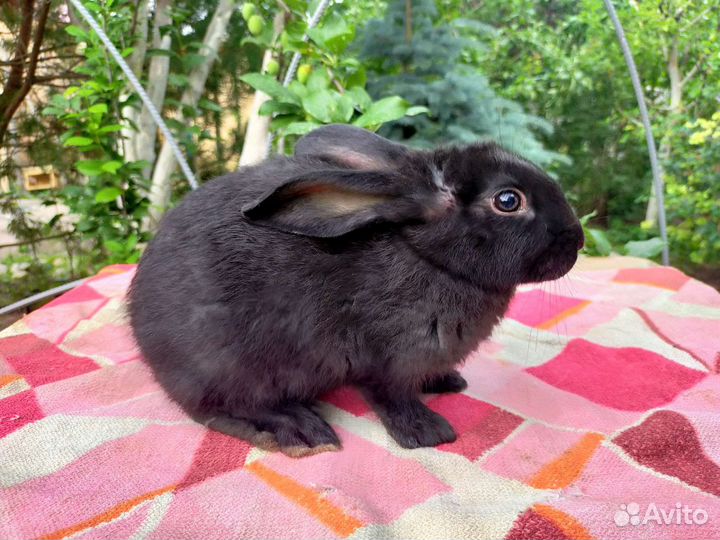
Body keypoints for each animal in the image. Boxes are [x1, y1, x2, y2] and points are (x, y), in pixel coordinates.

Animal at [128, 124, 584, 457]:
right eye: (508, 200)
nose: (577, 240)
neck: (427, 258)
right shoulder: (382, 360)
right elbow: (392, 398)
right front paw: (429, 433)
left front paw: (447, 382)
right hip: (233, 365)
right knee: (215, 411)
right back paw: (299, 431)